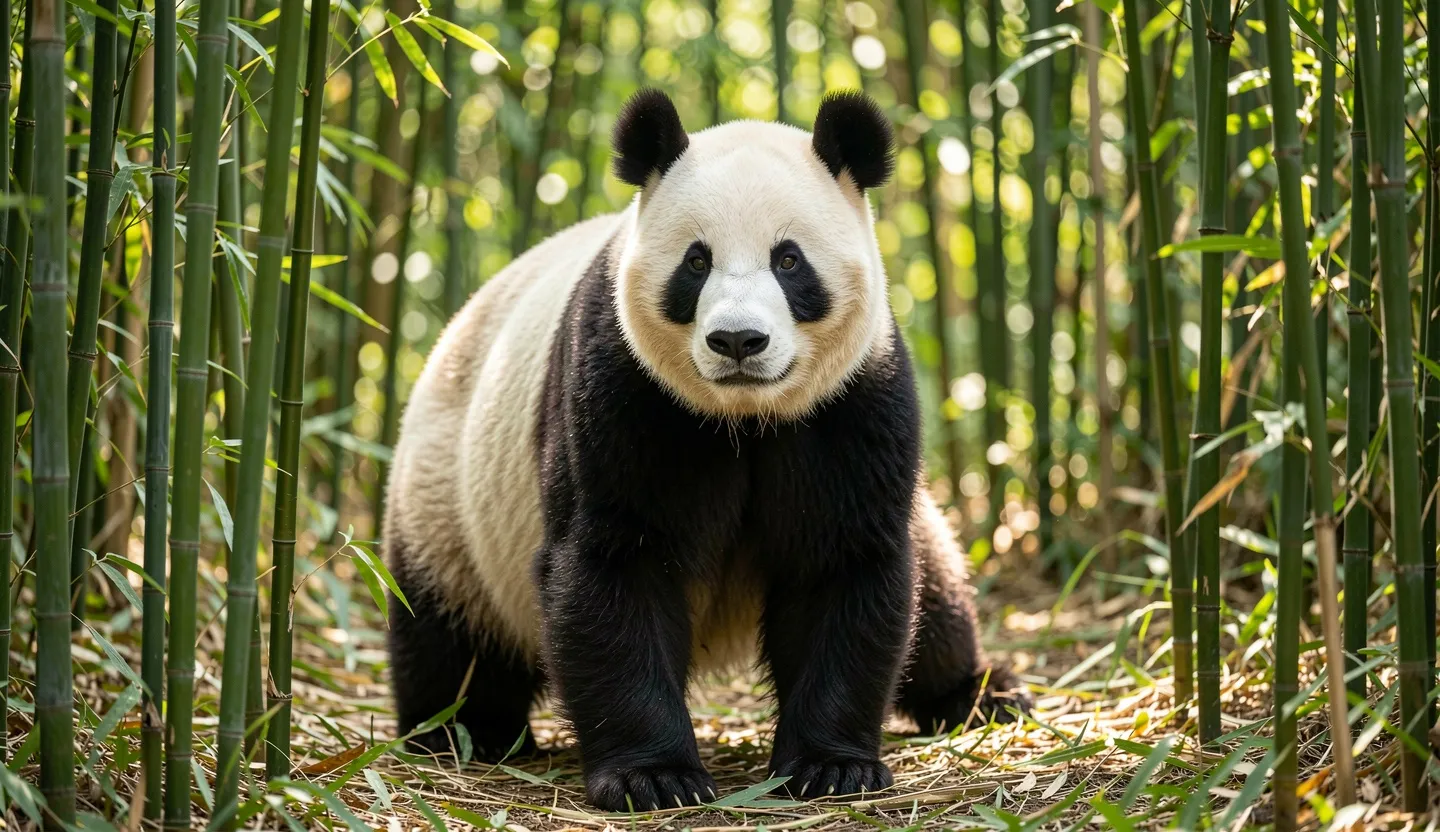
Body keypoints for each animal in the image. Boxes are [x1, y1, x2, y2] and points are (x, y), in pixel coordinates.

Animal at [384, 88, 1030, 812]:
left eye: (788, 260)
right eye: (696, 263)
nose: (739, 341)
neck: (744, 419)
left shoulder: (851, 402)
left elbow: (843, 563)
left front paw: (831, 767)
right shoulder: (625, 390)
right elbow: (615, 567)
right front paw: (653, 777)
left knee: (939, 600)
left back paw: (983, 696)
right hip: (450, 505)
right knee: (449, 635)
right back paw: (461, 729)